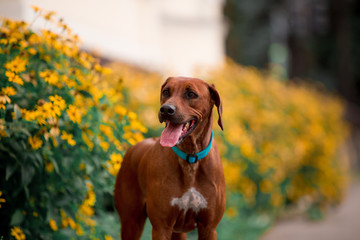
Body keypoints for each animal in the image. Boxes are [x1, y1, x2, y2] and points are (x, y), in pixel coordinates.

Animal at [114, 77, 225, 240]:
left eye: (191, 94)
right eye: (166, 92)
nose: (166, 109)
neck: (190, 159)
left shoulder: (209, 228)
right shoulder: (161, 227)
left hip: (178, 231)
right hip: (131, 222)